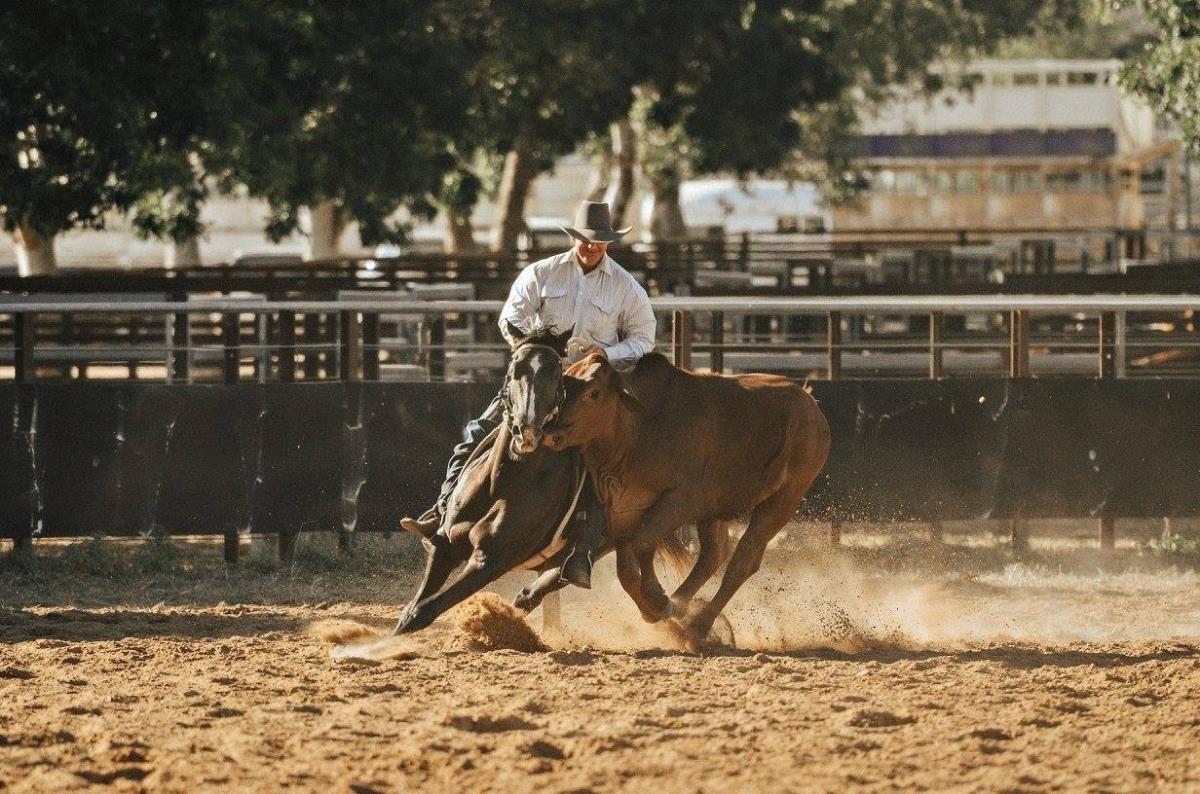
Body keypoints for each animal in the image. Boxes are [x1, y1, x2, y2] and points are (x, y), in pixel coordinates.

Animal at [543, 351, 831, 648]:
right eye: (565, 382)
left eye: (594, 393)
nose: (551, 430)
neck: (640, 426)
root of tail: (809, 402)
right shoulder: (624, 508)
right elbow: (626, 569)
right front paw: (657, 608)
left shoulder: (683, 502)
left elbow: (643, 542)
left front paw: (657, 600)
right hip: (715, 511)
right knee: (713, 554)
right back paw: (683, 608)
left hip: (785, 497)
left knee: (743, 558)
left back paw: (699, 624)